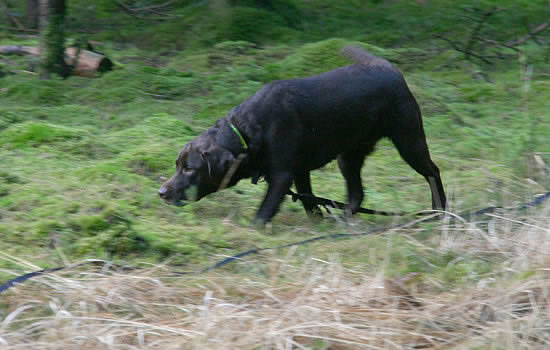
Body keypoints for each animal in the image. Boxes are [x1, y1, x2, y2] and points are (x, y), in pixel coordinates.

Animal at [160, 45, 448, 224]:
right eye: (177, 165)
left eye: (189, 169)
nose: (161, 192)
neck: (247, 132)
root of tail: (391, 70)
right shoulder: (299, 172)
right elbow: (309, 201)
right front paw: (318, 222)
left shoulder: (282, 174)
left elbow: (264, 211)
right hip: (349, 156)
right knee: (357, 193)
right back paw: (345, 221)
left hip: (409, 141)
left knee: (433, 172)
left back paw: (440, 212)